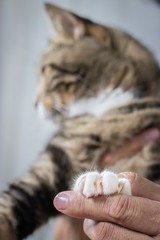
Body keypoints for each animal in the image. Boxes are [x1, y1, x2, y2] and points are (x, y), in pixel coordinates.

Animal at [0, 3, 160, 240]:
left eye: (46, 70)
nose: (34, 103)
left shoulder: (152, 151)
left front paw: (111, 183)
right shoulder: (57, 156)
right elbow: (12, 204)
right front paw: (95, 181)